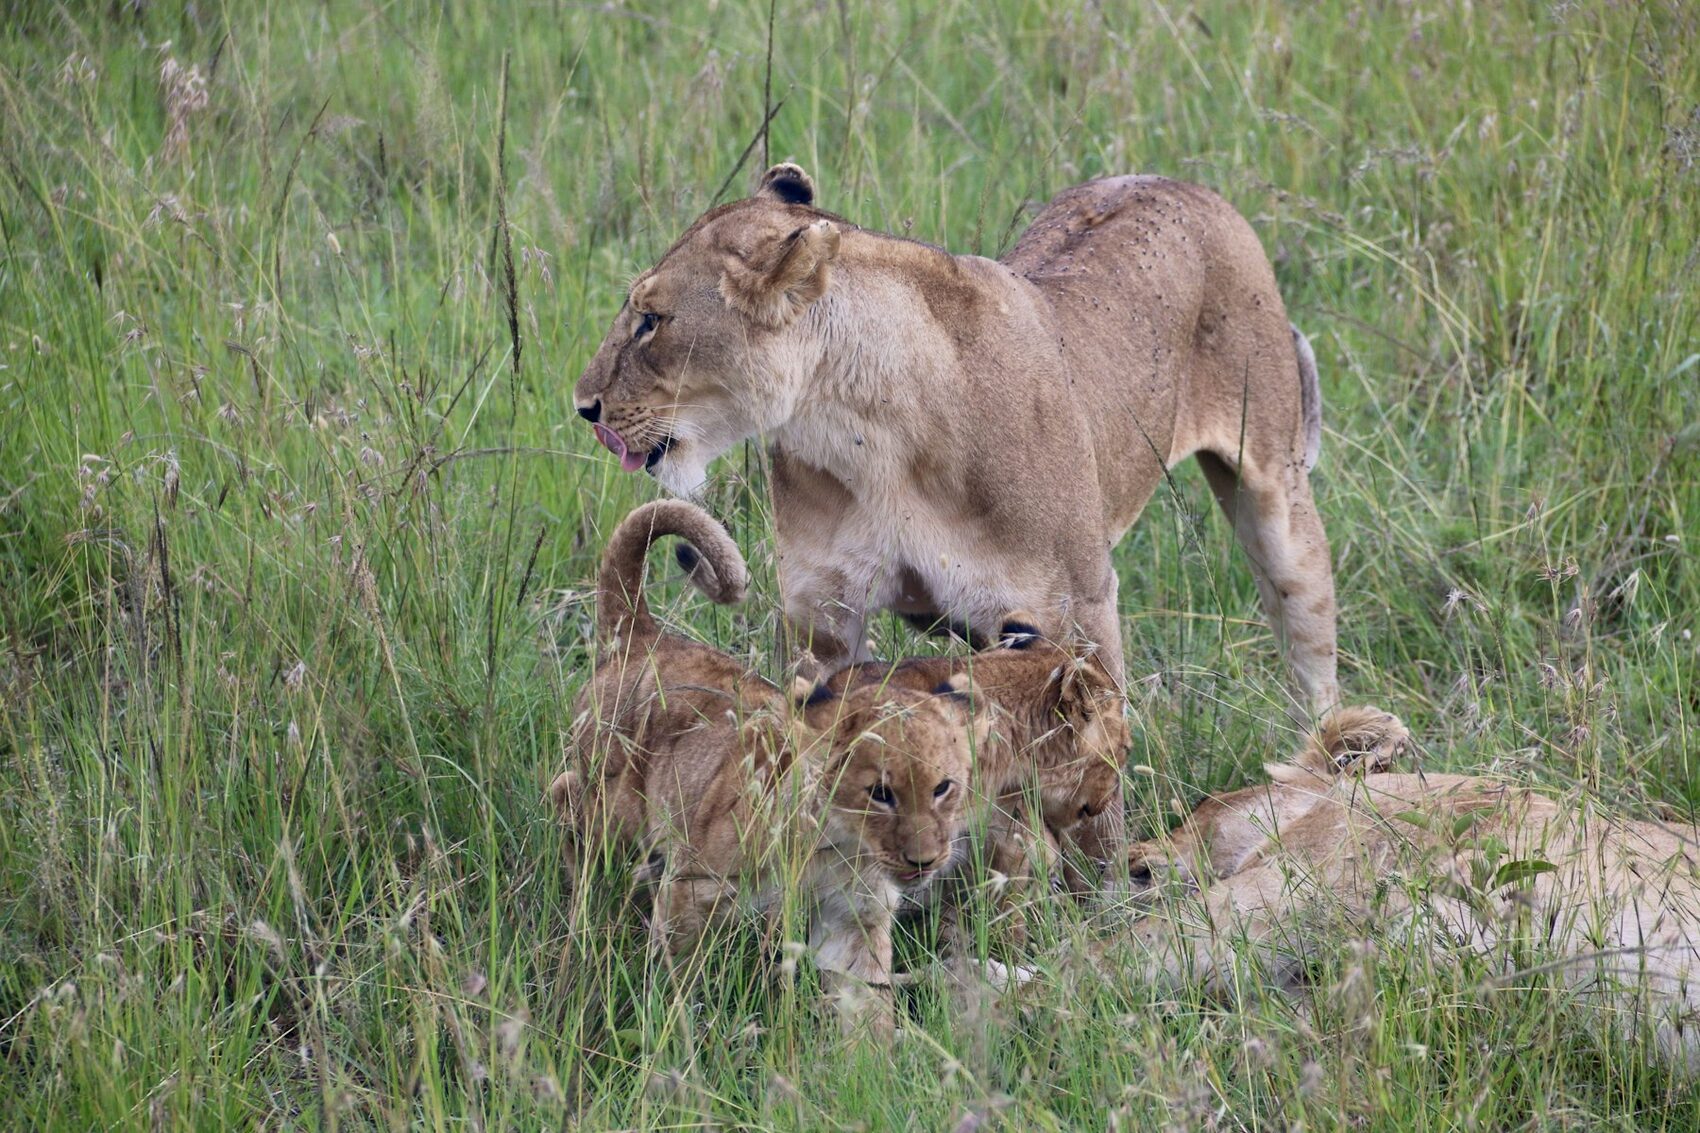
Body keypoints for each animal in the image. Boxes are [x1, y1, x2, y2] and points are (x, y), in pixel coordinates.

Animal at [552, 500, 991, 1033]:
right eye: (880, 794)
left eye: (943, 788)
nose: (925, 861)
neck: (839, 850)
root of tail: (643, 636)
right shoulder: (693, 890)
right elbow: (679, 977)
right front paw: (678, 1034)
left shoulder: (854, 918)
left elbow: (866, 1004)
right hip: (612, 810)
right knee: (566, 799)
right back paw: (582, 909)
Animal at [572, 162, 1338, 716]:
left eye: (651, 320)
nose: (583, 405)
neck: (864, 429)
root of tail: (1179, 182)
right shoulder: (823, 616)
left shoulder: (1079, 609)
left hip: (1275, 489)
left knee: (1308, 638)